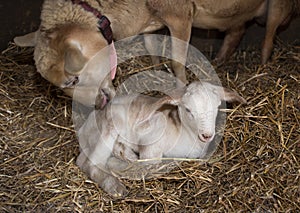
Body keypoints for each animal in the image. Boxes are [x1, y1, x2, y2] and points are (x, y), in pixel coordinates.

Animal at [77, 81, 246, 196]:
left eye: (216, 107)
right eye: (188, 110)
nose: (207, 135)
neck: (185, 132)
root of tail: (84, 128)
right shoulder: (150, 144)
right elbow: (151, 164)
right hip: (110, 125)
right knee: (91, 163)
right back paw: (115, 187)